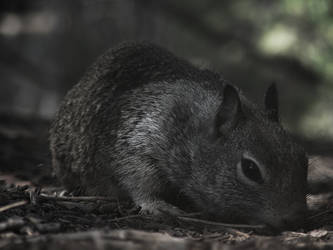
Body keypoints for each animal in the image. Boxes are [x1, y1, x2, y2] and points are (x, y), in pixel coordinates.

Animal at [50, 42, 308, 229]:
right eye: (251, 169)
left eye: (304, 160)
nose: (294, 218)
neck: (193, 130)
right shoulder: (138, 144)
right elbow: (137, 180)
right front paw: (157, 205)